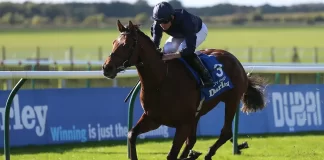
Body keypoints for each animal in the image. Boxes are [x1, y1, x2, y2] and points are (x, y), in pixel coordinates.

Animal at [102, 20, 268, 160]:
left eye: (127, 45)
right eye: (113, 42)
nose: (106, 68)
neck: (161, 81)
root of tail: (236, 60)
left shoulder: (183, 124)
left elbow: (171, 155)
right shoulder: (153, 118)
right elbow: (131, 134)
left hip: (232, 100)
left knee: (225, 132)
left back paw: (208, 154)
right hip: (197, 114)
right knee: (193, 140)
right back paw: (192, 155)